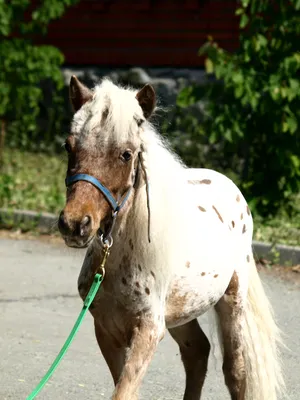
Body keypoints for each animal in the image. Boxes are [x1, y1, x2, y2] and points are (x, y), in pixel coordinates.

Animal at [58, 76, 284, 400]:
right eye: (69, 146)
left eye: (126, 154)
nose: (75, 223)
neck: (118, 262)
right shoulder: (106, 329)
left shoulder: (149, 330)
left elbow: (124, 391)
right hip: (182, 311)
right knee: (197, 352)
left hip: (232, 303)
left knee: (236, 371)